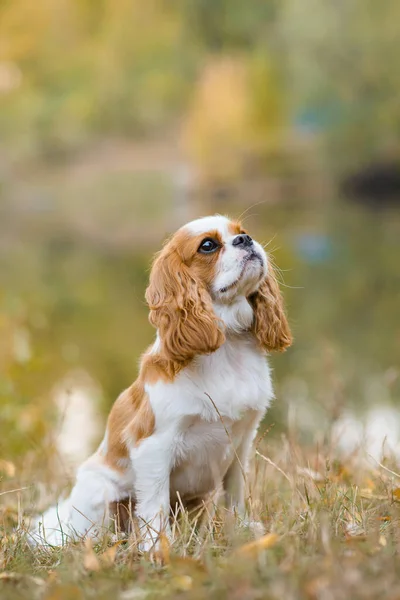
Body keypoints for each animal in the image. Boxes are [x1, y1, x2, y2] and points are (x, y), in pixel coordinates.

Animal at [28, 214, 290, 548]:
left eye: (242, 232)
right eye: (208, 245)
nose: (246, 240)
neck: (227, 346)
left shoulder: (242, 443)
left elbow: (235, 493)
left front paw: (242, 531)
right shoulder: (154, 447)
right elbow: (155, 505)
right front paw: (157, 547)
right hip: (100, 493)